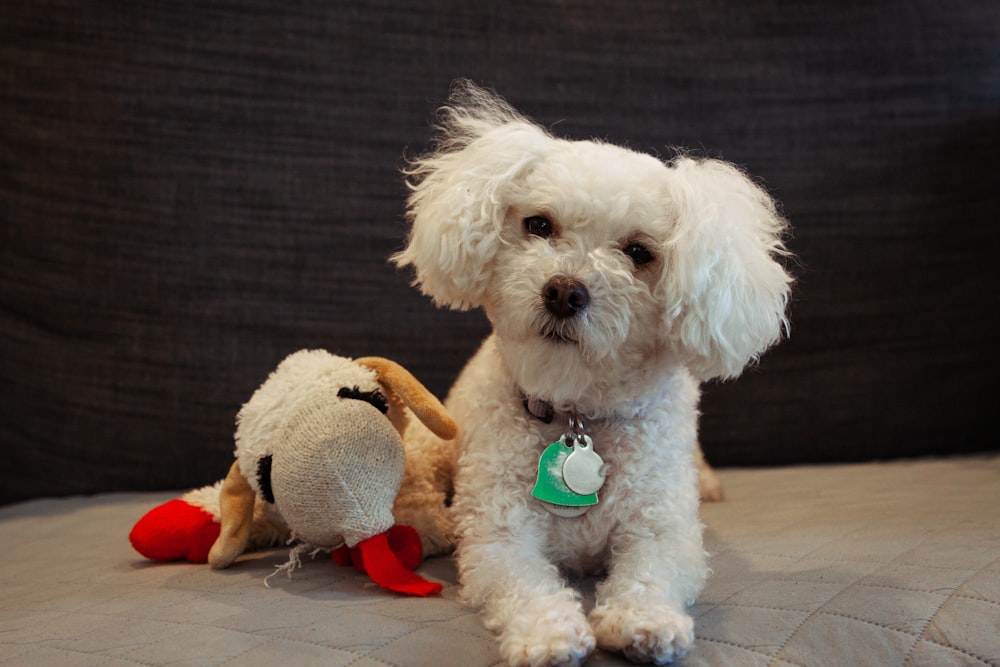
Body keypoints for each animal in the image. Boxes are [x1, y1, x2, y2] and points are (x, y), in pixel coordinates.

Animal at [390, 81, 788, 664]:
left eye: (639, 252)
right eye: (539, 225)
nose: (563, 291)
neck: (577, 413)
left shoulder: (665, 531)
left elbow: (652, 574)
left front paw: (644, 621)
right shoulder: (499, 535)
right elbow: (524, 584)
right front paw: (547, 633)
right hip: (442, 445)